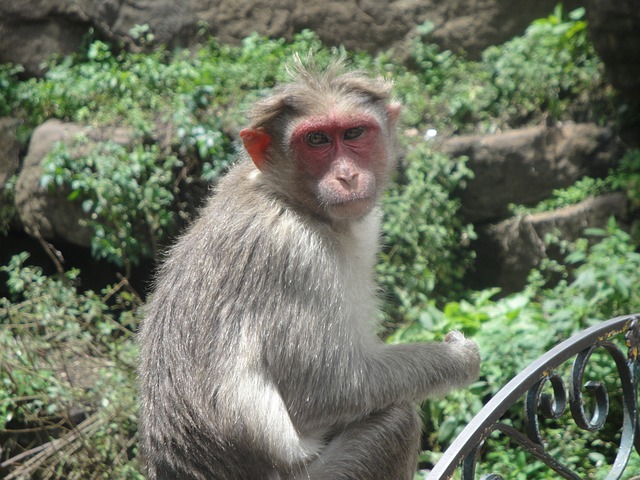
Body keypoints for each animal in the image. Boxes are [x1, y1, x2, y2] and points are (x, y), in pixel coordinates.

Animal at [140, 55, 480, 480]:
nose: (347, 176)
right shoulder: (294, 258)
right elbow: (325, 392)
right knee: (397, 421)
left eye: (354, 133)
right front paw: (460, 358)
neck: (290, 200)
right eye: (316, 140)